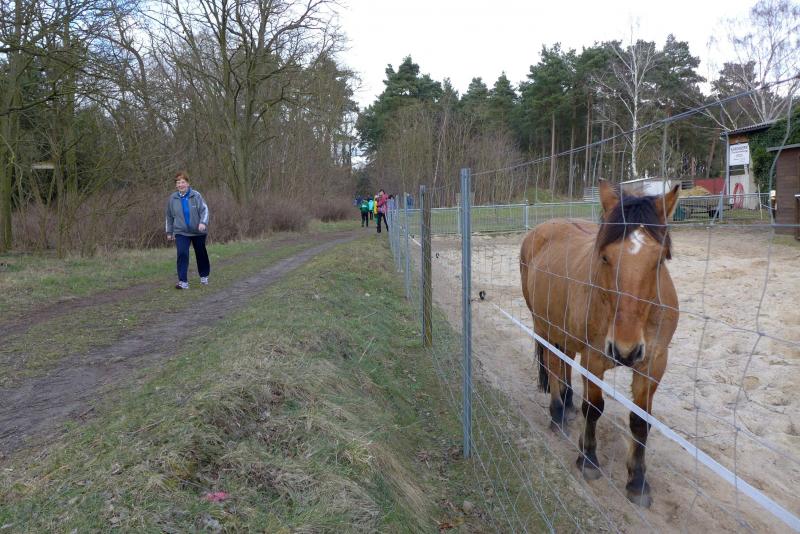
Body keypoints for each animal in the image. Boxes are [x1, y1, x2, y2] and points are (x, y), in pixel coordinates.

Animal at [519, 180, 680, 507]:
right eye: (605, 257)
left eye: (659, 260)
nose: (625, 350)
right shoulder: (594, 357)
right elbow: (593, 408)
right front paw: (588, 459)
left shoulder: (653, 363)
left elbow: (640, 422)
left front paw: (638, 482)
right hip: (544, 326)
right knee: (553, 366)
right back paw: (558, 415)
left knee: (564, 364)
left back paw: (567, 405)